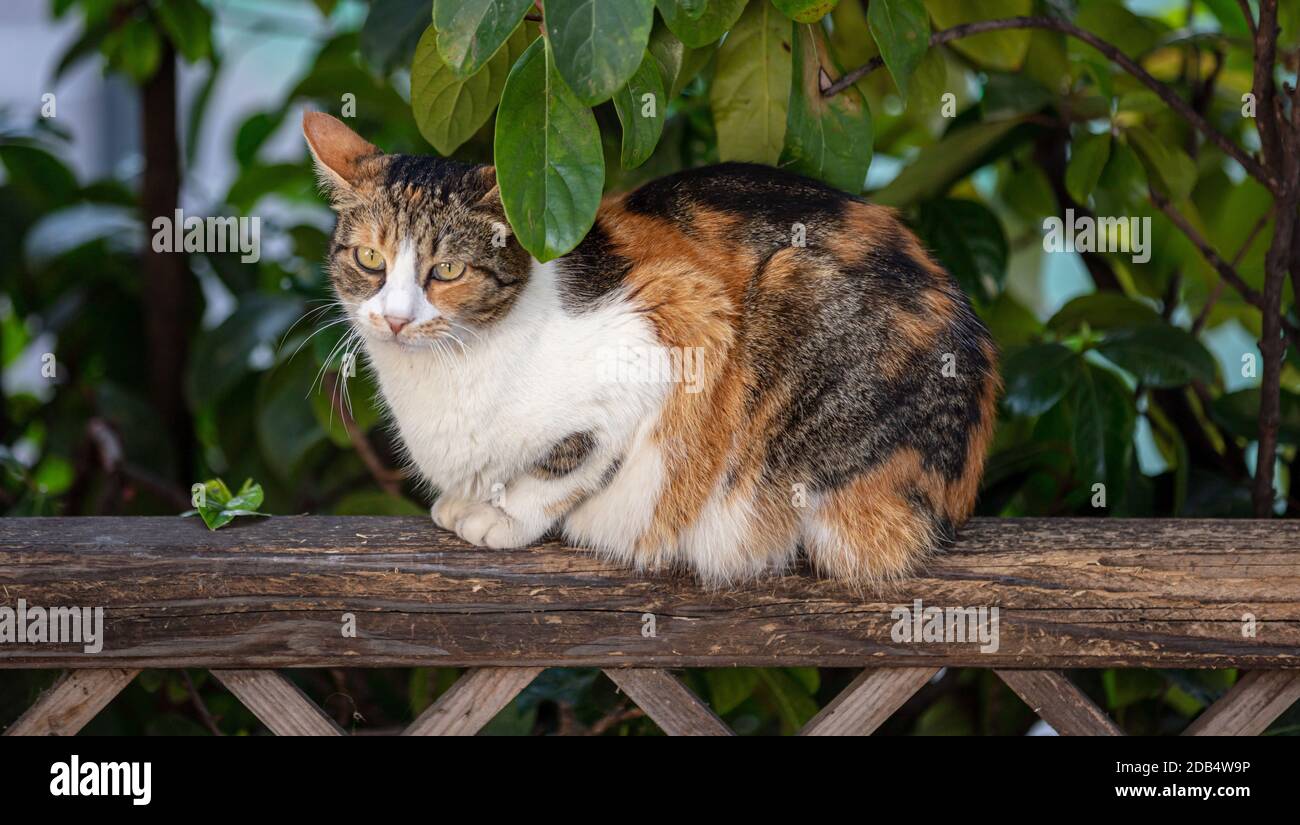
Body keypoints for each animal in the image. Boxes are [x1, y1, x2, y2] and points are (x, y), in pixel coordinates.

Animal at [309, 111, 998, 587]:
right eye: (369, 259)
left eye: (446, 270)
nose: (395, 319)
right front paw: (470, 500)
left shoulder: (677, 323)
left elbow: (571, 462)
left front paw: (502, 515)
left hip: (797, 296)